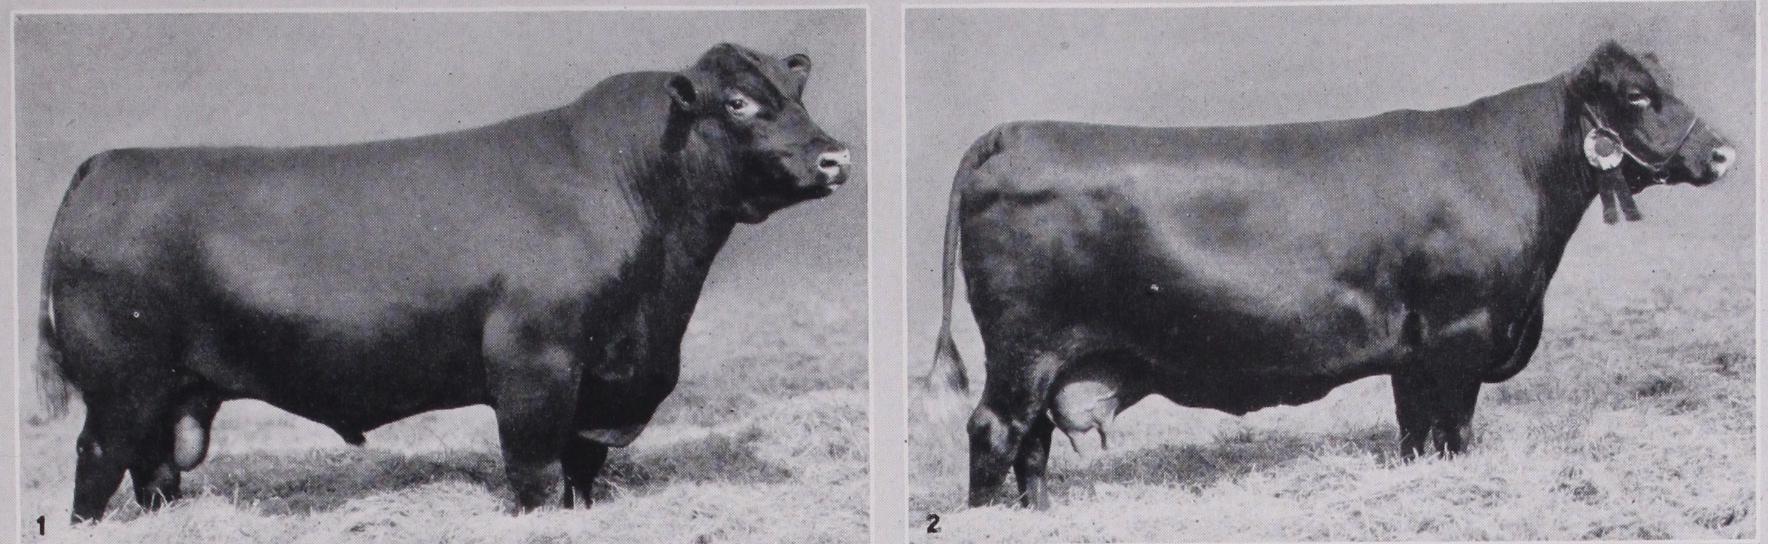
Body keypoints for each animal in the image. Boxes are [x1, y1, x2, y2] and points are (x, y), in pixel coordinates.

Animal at [36, 43, 853, 522]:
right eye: (738, 102)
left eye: (797, 94)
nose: (836, 156)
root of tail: (107, 162)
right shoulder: (534, 368)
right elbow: (534, 472)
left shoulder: (602, 385)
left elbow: (582, 475)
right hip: (119, 384)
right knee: (95, 465)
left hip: (167, 391)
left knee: (154, 473)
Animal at [923, 42, 1735, 510]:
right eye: (1638, 96)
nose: (1722, 153)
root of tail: (1013, 132)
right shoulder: (1462, 331)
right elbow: (1456, 427)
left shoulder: (1416, 351)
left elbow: (1416, 431)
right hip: (1023, 347)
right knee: (994, 431)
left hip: (1044, 359)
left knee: (1031, 443)